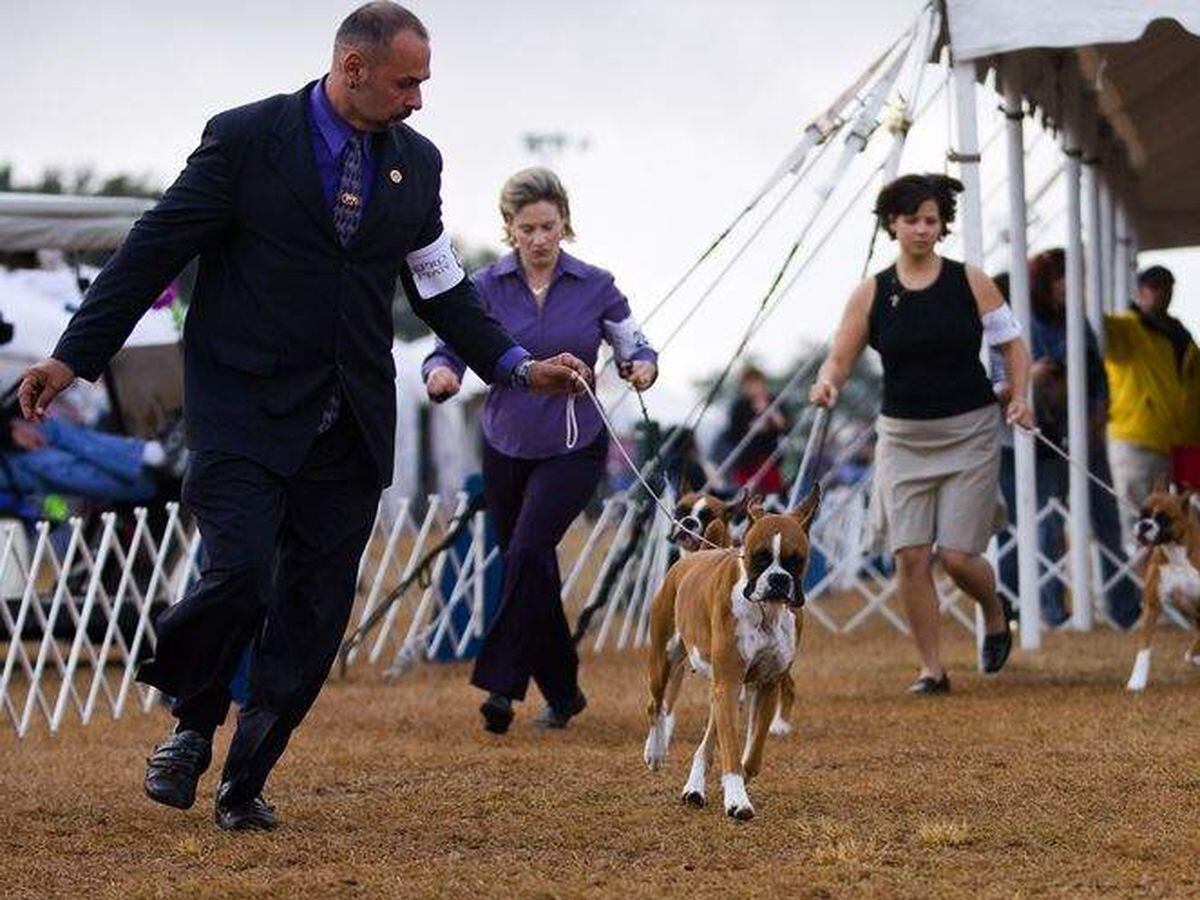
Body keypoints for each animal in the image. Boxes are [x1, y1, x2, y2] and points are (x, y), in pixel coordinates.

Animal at [643, 489, 820, 820]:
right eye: (759, 557)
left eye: (795, 561)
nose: (778, 579)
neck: (767, 611)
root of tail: (694, 556)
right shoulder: (728, 682)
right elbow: (731, 749)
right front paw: (738, 800)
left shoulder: (765, 685)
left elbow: (750, 753)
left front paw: (734, 784)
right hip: (663, 661)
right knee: (655, 706)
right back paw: (656, 752)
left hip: (725, 686)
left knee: (707, 739)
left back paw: (694, 788)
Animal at [1123, 482, 1200, 696]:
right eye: (1143, 512)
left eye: (1164, 518)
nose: (1145, 525)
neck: (1177, 556)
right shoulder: (1152, 605)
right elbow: (1144, 648)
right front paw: (1137, 681)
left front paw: (1195, 656)